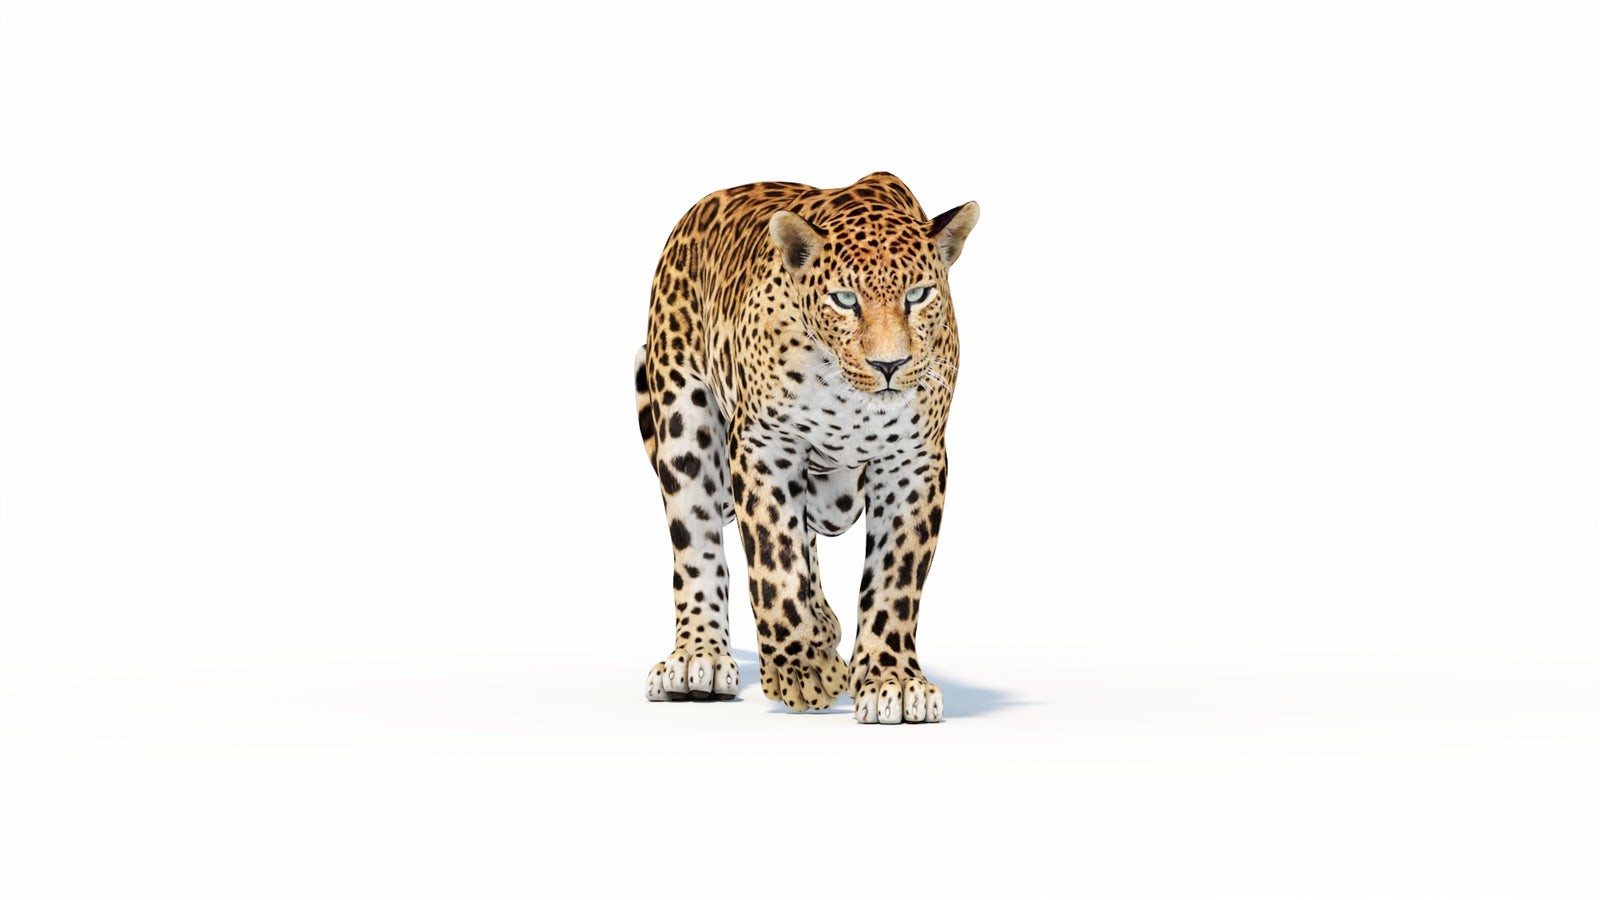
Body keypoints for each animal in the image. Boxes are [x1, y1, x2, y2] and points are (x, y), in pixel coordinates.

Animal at [636, 172, 979, 724]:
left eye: (919, 295)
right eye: (844, 300)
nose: (890, 365)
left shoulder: (913, 460)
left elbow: (896, 576)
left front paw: (892, 680)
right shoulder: (762, 447)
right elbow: (775, 562)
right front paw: (802, 670)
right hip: (682, 420)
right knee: (697, 547)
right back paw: (698, 657)